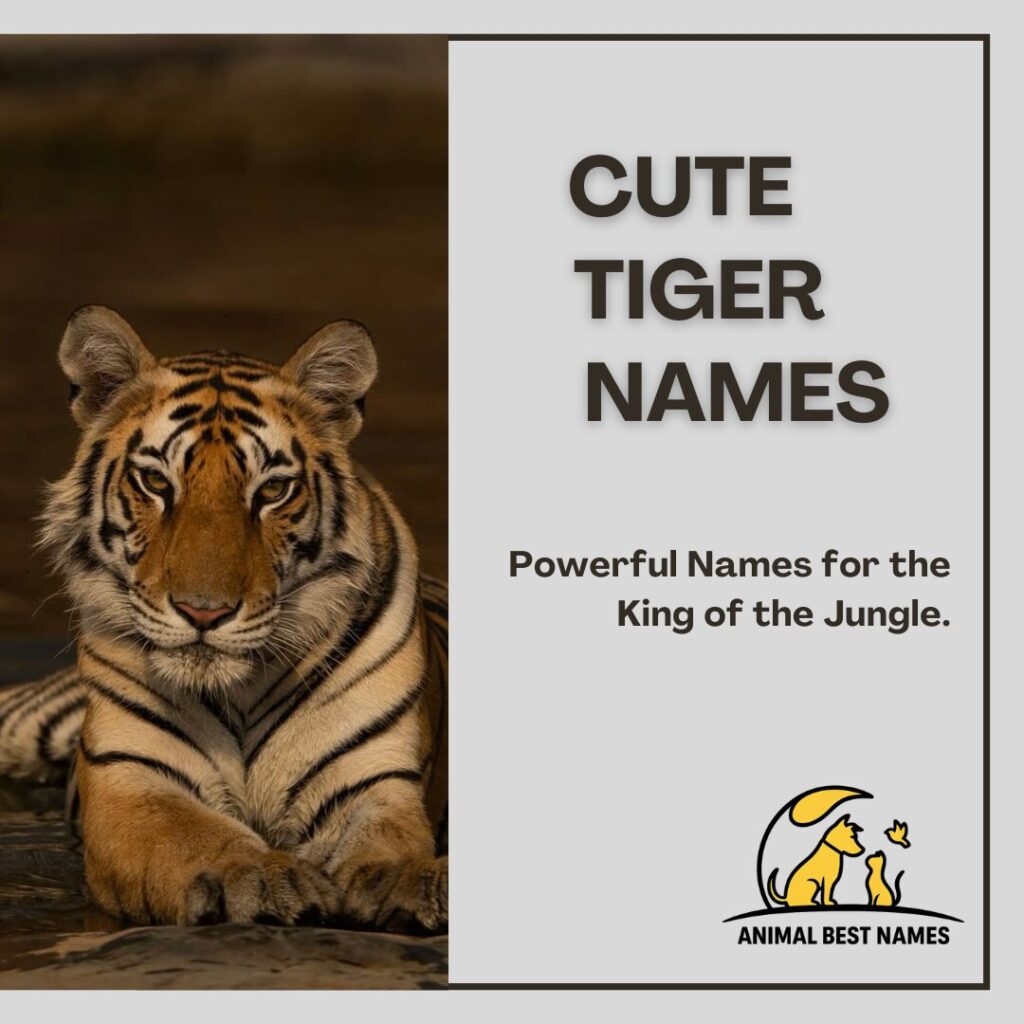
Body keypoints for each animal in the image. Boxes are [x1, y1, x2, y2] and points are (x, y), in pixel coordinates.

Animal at [0, 305, 448, 933]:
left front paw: (411, 884)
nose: (203, 612)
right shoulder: (131, 779)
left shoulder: (373, 780)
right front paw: (262, 876)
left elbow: (388, 844)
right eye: (156, 482)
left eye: (273, 490)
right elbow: (192, 837)